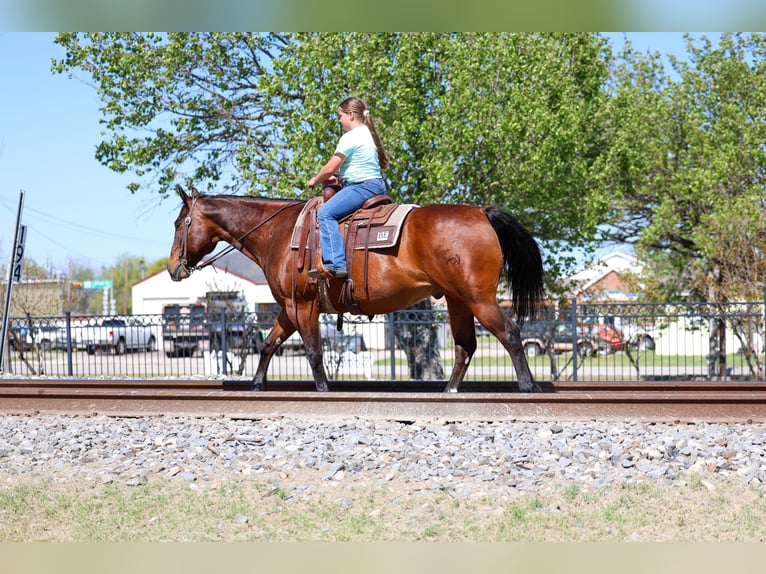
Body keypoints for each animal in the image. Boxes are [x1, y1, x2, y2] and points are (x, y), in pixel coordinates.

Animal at [167, 186, 545, 393]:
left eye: (179, 223)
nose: (173, 268)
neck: (281, 233)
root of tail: (481, 212)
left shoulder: (303, 305)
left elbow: (314, 351)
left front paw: (322, 389)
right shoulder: (288, 308)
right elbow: (268, 344)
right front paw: (258, 384)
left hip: (478, 299)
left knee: (510, 334)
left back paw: (528, 386)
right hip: (458, 301)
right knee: (466, 345)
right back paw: (450, 390)